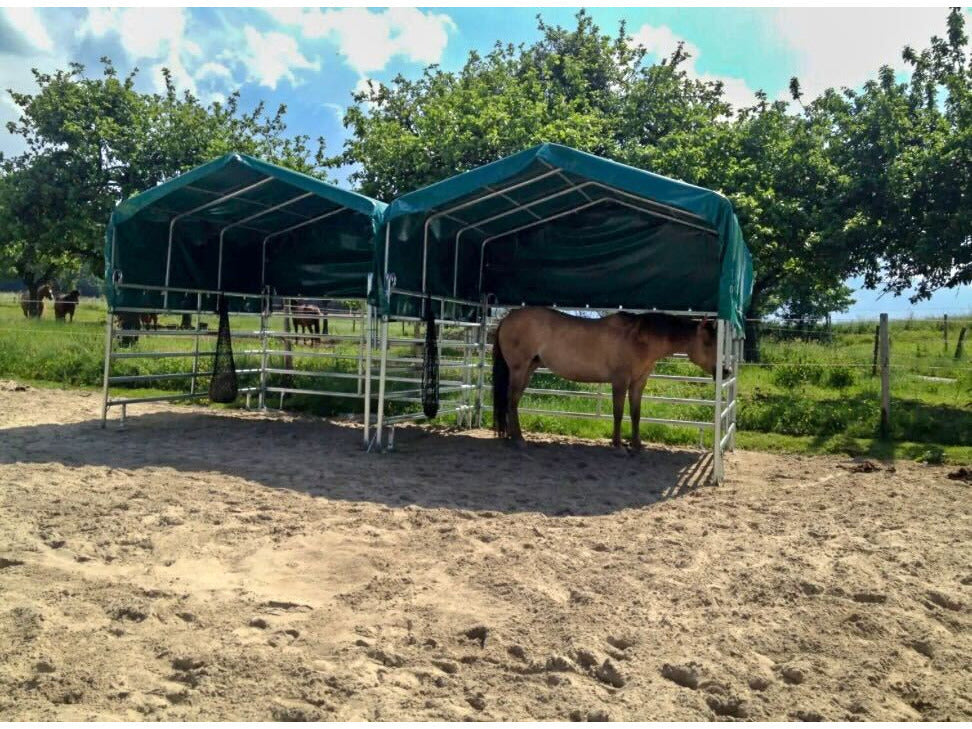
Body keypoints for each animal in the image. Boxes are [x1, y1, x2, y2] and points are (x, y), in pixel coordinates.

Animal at [491, 308, 729, 450]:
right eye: (708, 343)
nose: (726, 371)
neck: (639, 338)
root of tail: (507, 318)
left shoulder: (638, 384)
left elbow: (635, 414)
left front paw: (637, 444)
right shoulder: (620, 381)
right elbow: (618, 413)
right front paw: (618, 444)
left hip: (529, 369)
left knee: (512, 401)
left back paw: (513, 436)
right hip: (519, 369)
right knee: (512, 400)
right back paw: (519, 439)